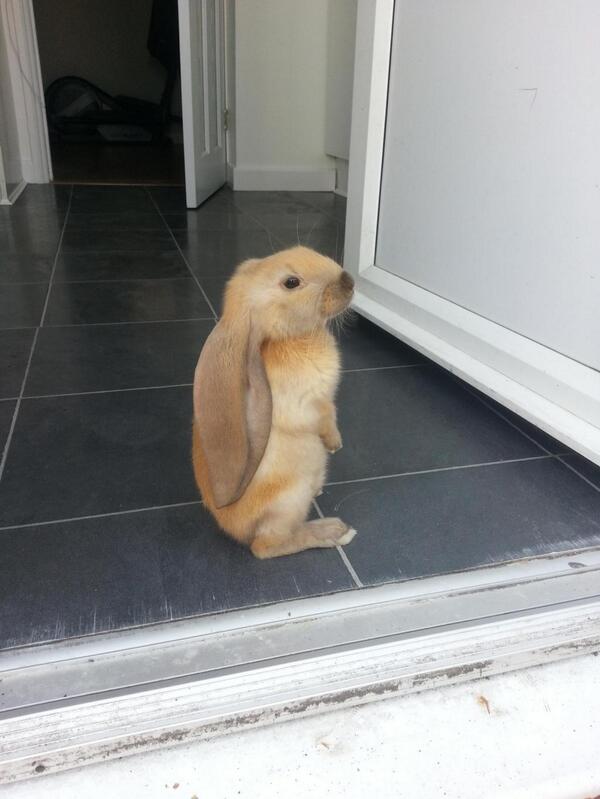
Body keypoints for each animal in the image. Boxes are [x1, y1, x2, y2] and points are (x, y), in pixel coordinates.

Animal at [192, 245, 357, 559]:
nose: (349, 281)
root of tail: (234, 529)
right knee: (266, 547)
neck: (291, 338)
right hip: (288, 500)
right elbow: (325, 417)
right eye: (291, 282)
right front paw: (335, 444)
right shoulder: (308, 405)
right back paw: (332, 531)